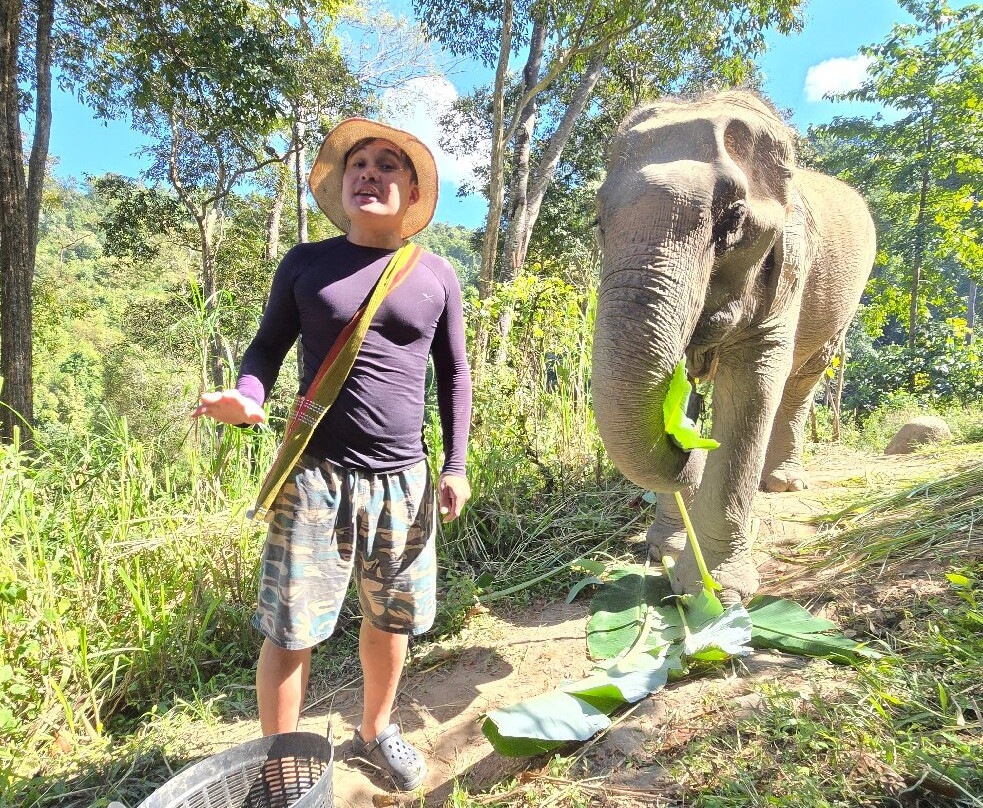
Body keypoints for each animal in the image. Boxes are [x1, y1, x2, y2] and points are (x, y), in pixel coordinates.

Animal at [591, 91, 875, 603]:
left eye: (733, 220)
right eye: (598, 221)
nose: (690, 448)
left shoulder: (787, 271)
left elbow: (752, 388)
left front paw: (715, 592)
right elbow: (677, 390)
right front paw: (662, 550)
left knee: (801, 382)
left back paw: (783, 484)